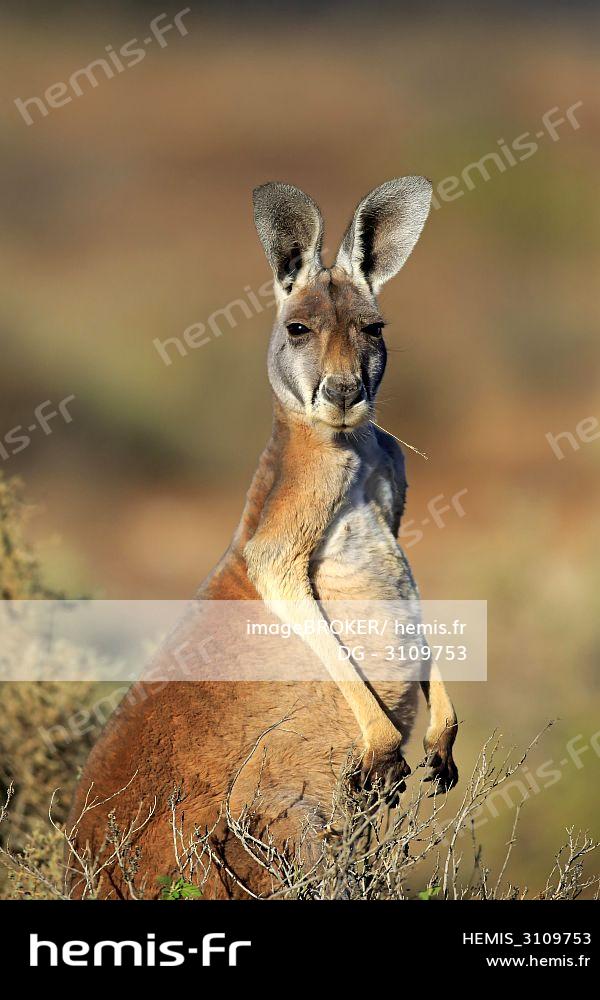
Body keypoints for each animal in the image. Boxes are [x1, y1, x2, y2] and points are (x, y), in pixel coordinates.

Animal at [67, 178, 458, 899]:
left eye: (374, 328)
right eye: (298, 328)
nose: (344, 392)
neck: (347, 444)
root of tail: (82, 871)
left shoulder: (394, 498)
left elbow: (418, 599)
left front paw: (441, 740)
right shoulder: (283, 527)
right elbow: (282, 582)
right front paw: (385, 746)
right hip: (278, 802)